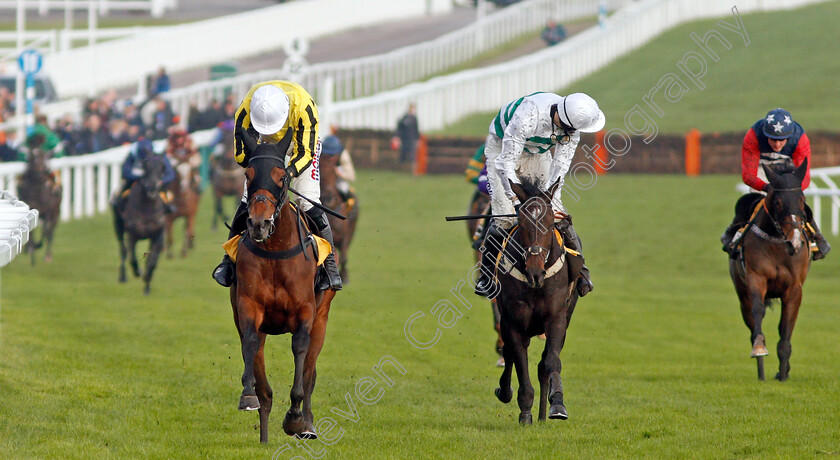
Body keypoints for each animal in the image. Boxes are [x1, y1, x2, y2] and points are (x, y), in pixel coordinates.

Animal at [16, 136, 61, 266]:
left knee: (50, 233)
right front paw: (32, 257)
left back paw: (48, 256)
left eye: (42, 155)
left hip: (56, 213)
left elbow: (45, 233)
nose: (39, 174)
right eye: (30, 155)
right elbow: (31, 234)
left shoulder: (48, 212)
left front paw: (37, 247)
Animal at [113, 151, 169, 294]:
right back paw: (123, 276)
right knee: (123, 250)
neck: (147, 207)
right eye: (145, 165)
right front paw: (138, 271)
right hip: (118, 225)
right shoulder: (132, 234)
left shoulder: (158, 236)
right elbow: (132, 257)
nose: (152, 187)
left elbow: (152, 262)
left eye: (162, 166)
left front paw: (147, 284)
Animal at [728, 161, 812, 380]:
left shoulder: (794, 289)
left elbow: (786, 326)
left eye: (802, 200)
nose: (795, 242)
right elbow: (758, 311)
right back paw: (761, 372)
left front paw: (783, 373)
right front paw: (759, 349)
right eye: (778, 203)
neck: (777, 244)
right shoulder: (756, 278)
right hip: (741, 294)